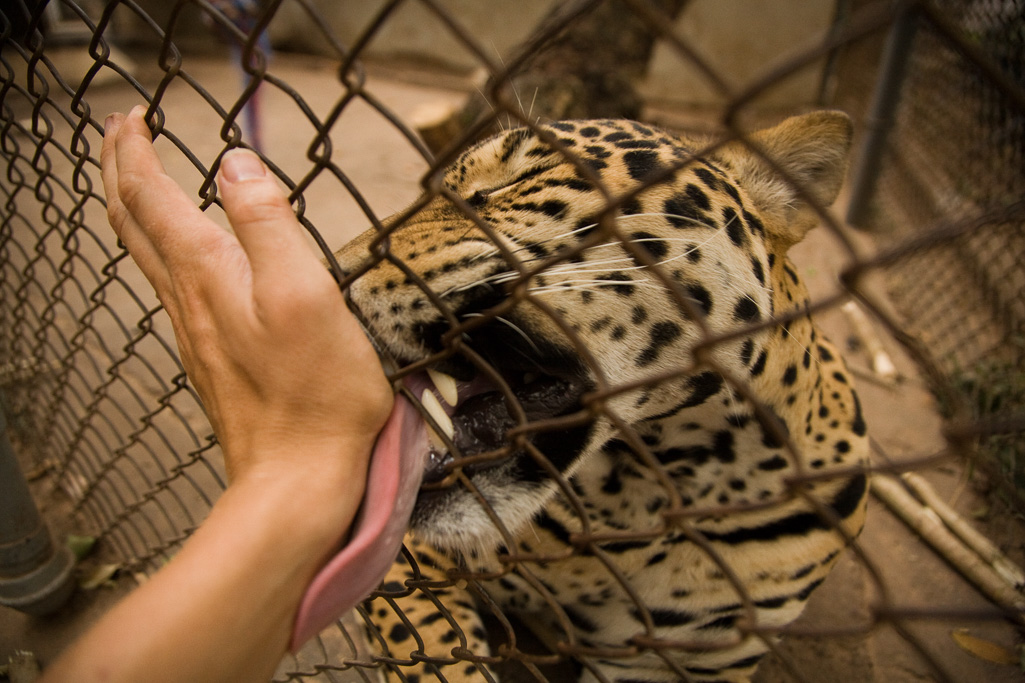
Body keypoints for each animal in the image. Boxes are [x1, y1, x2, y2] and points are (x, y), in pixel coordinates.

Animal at [332, 111, 870, 683]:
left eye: (505, 185)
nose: (332, 269)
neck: (646, 492)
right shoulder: (403, 560)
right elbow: (439, 659)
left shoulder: (692, 663)